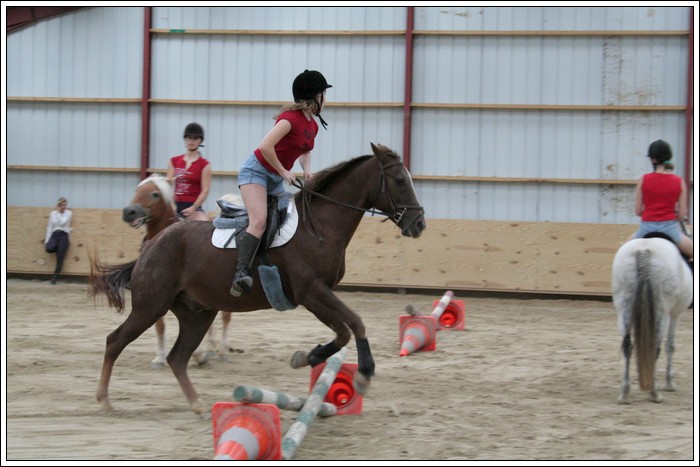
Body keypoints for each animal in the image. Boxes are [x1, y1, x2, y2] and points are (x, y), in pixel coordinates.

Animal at [119, 174, 231, 368]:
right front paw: (160, 357)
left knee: (225, 316)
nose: (129, 212)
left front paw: (199, 353)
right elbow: (160, 325)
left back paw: (222, 350)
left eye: (155, 194)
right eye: (137, 190)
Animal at [608, 236, 692, 404]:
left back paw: (624, 393)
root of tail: (643, 250)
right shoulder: (675, 315)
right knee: (655, 348)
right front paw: (670, 383)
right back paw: (655, 392)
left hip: (624, 310)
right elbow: (670, 346)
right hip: (662, 314)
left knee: (627, 346)